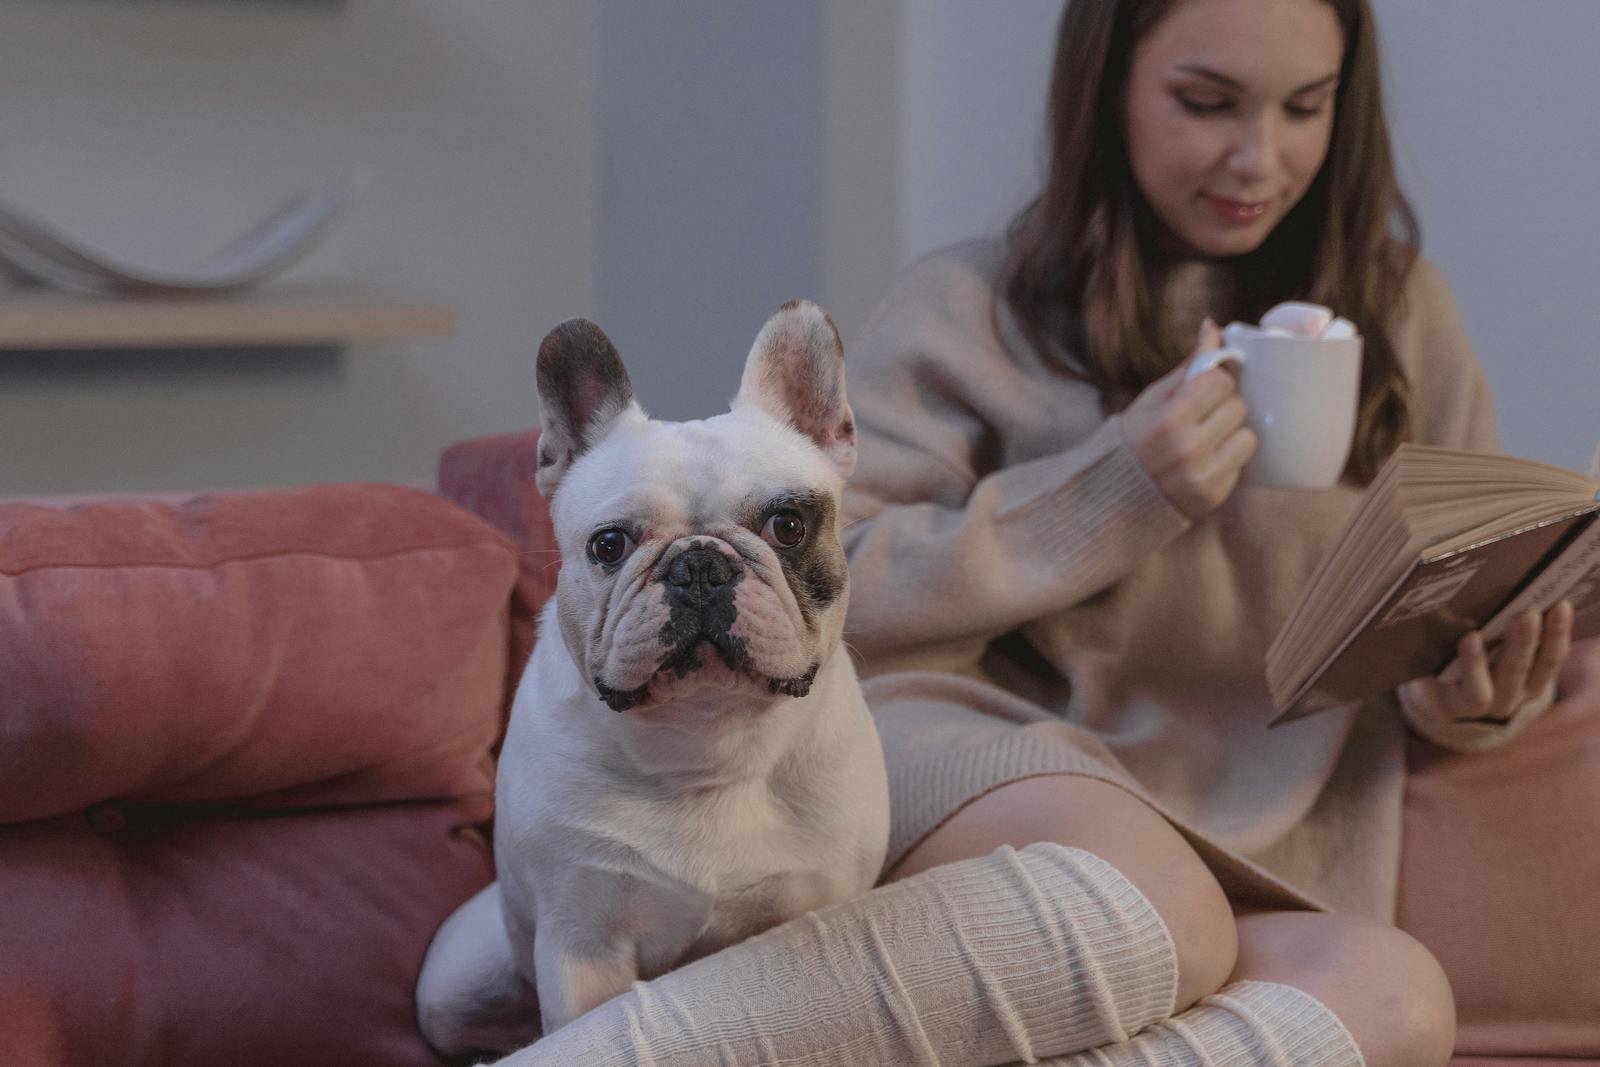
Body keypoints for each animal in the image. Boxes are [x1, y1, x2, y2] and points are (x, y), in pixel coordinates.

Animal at [416, 303, 889, 1055]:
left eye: (787, 525)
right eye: (609, 545)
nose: (699, 565)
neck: (706, 737)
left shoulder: (818, 901)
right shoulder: (583, 942)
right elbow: (579, 1028)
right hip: (453, 985)